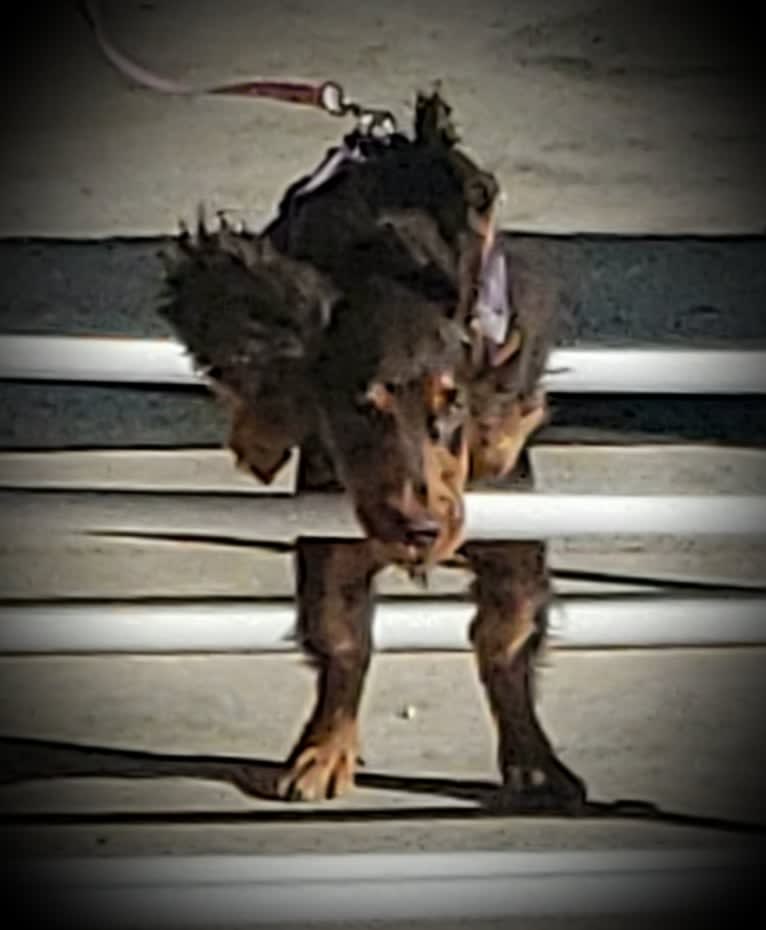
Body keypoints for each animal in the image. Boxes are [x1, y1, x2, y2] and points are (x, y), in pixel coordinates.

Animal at [159, 90, 584, 808]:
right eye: (361, 411)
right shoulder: (330, 541)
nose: (419, 530)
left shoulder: (513, 533)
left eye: (452, 407)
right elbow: (342, 640)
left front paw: (537, 767)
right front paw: (321, 757)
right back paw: (261, 434)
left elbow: (506, 636)